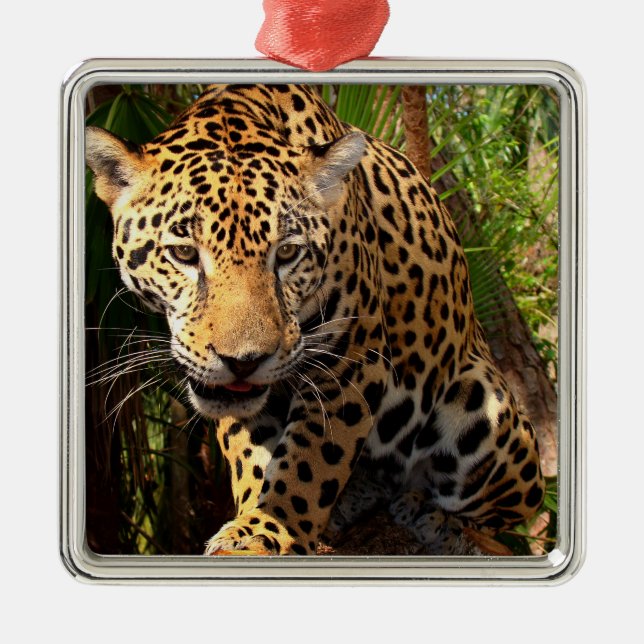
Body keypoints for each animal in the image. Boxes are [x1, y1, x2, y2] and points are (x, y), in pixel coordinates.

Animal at [86, 83, 545, 556]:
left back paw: (438, 521)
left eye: (288, 253)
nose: (244, 362)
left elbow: (311, 462)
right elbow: (255, 457)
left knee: (505, 514)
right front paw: (252, 520)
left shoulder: (353, 364)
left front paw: (270, 529)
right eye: (184, 253)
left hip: (483, 406)